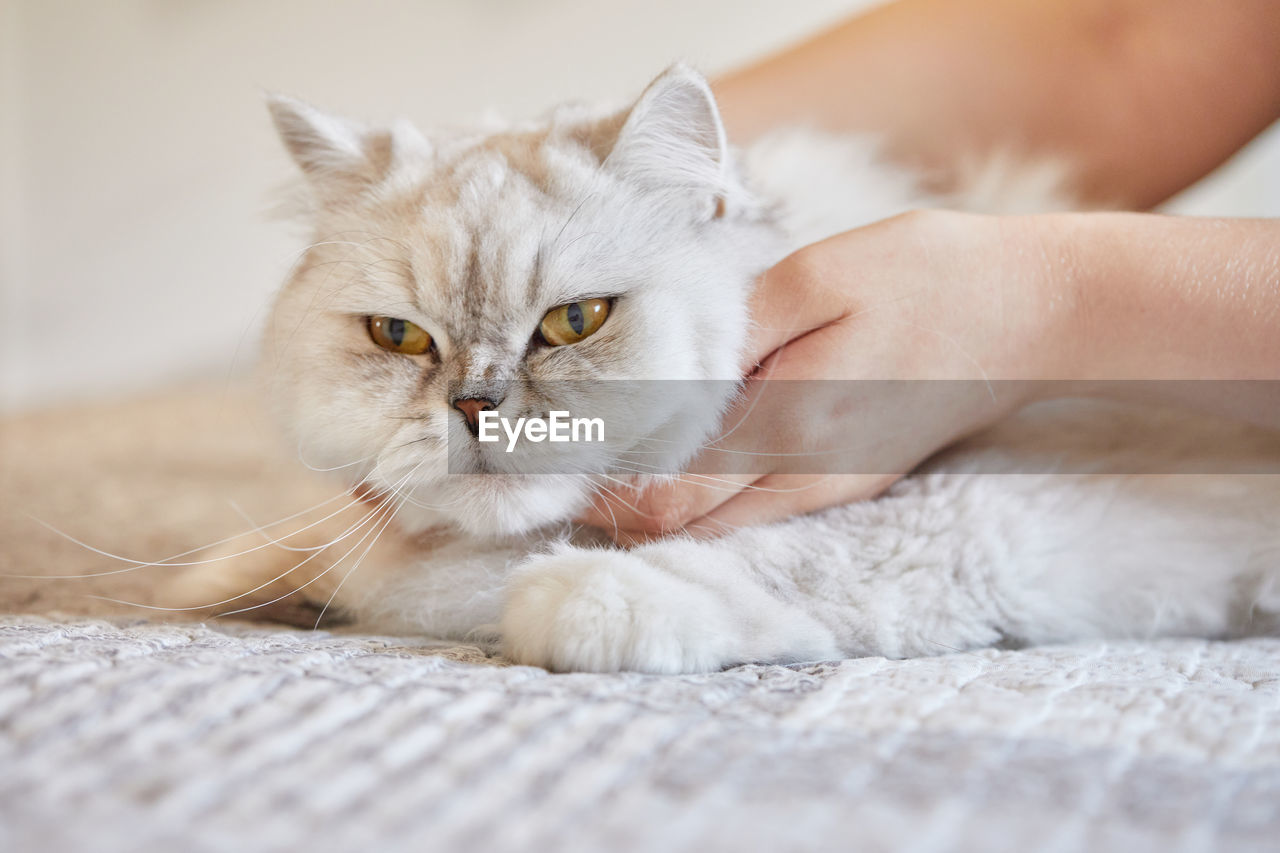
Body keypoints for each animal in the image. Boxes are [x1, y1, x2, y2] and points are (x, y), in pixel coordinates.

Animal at [167, 63, 1280, 671]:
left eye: (573, 321)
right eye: (399, 339)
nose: (474, 406)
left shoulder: (976, 505)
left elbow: (783, 561)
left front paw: (565, 602)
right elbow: (312, 550)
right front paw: (220, 581)